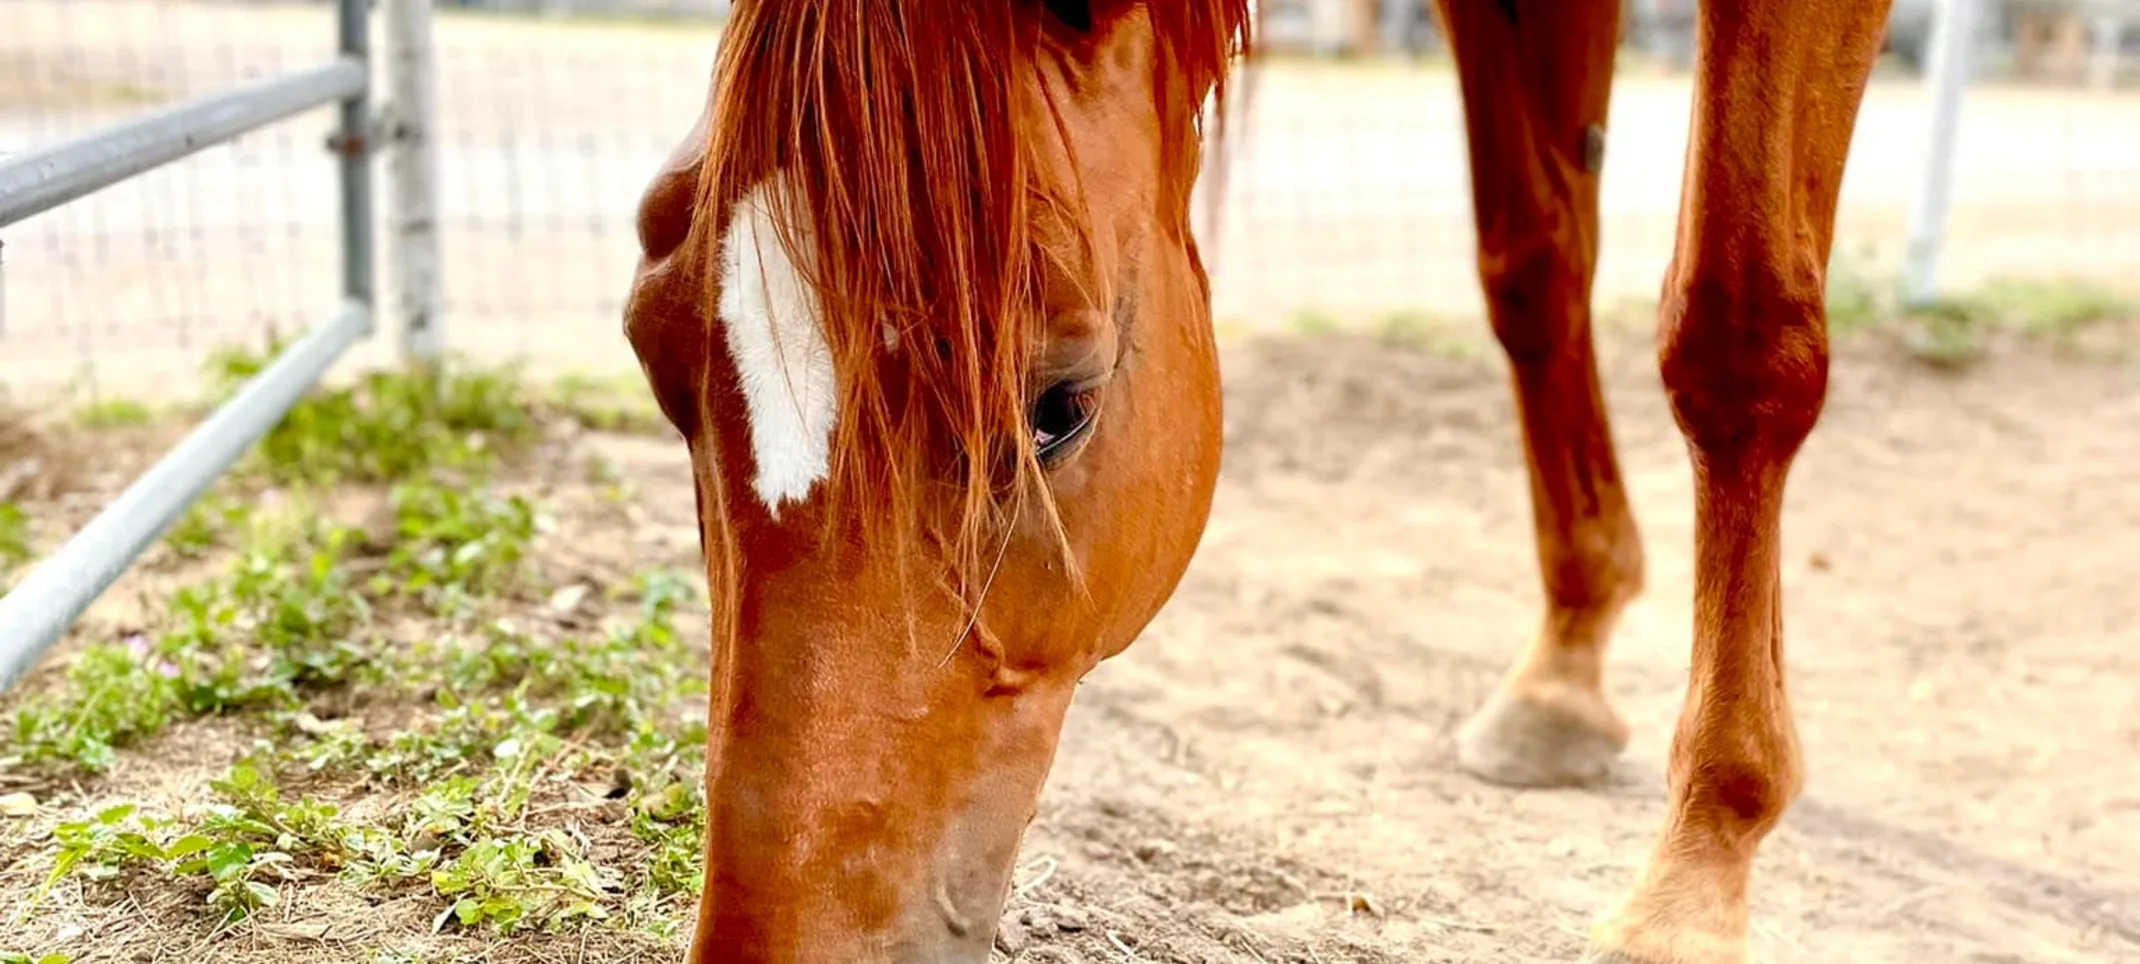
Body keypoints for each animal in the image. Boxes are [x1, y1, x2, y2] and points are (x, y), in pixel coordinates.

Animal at [620, 1, 1891, 964]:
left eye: (1059, 408)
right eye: (651, 352)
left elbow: (1737, 330)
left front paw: (1698, 869)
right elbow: (1532, 263)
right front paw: (1565, 666)